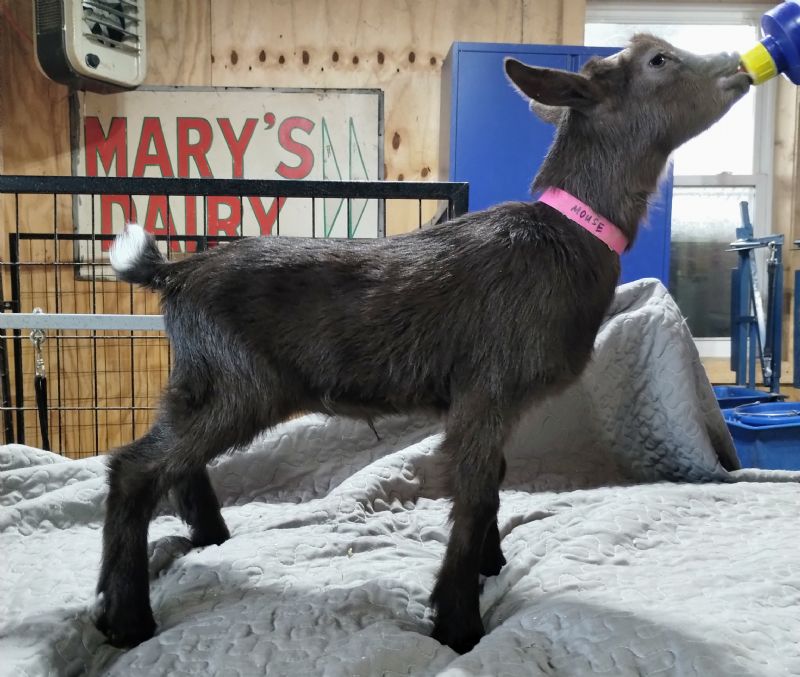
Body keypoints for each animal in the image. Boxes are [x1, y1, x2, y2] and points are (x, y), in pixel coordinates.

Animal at [95, 34, 750, 654]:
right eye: (658, 59)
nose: (740, 68)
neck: (568, 235)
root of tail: (172, 273)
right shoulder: (486, 391)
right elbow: (476, 491)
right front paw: (459, 622)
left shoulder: (491, 402)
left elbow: (495, 481)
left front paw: (492, 565)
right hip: (238, 383)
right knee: (136, 466)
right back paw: (125, 617)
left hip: (199, 380)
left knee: (175, 459)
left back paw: (209, 540)